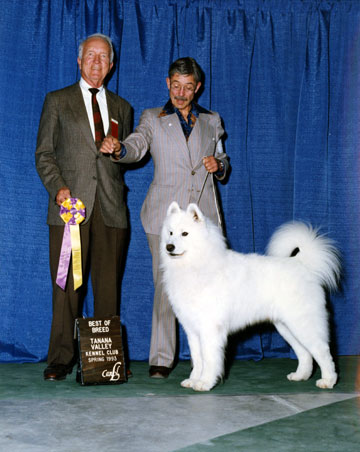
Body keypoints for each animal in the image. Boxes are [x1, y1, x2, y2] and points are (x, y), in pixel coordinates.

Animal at [160, 202, 340, 392]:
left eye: (184, 233)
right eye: (170, 233)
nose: (169, 247)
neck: (196, 264)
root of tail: (302, 264)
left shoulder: (209, 329)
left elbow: (209, 359)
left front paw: (205, 382)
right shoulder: (192, 330)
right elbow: (197, 359)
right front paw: (193, 380)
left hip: (303, 324)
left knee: (323, 351)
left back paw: (328, 381)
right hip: (286, 327)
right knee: (305, 353)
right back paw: (300, 376)